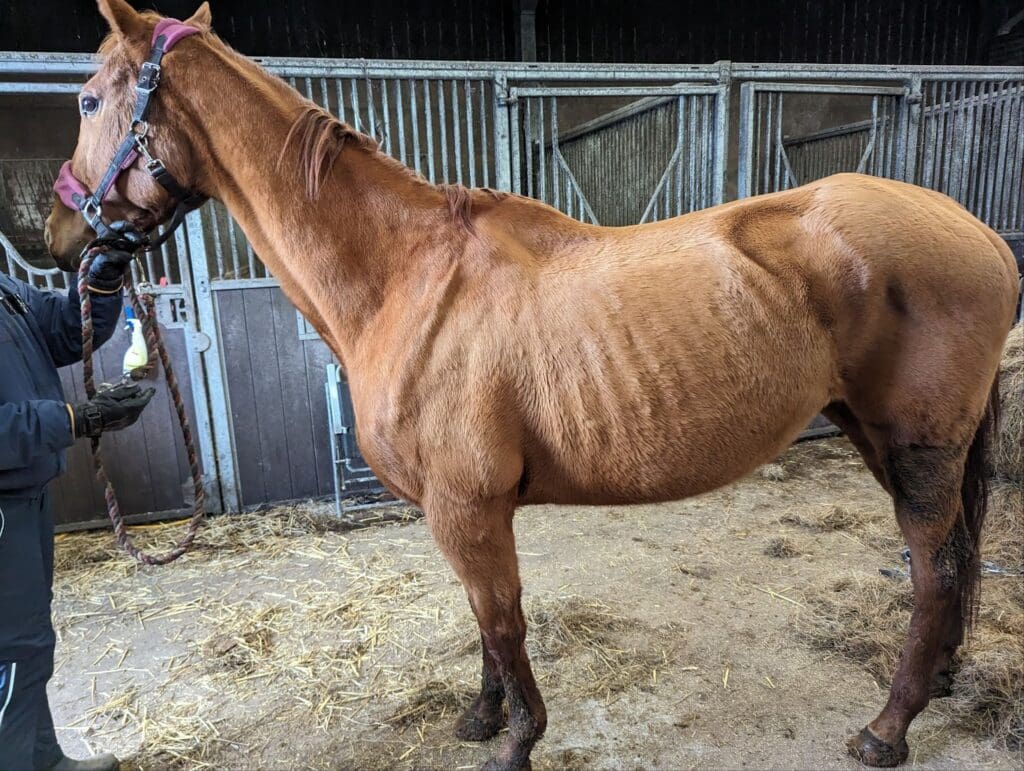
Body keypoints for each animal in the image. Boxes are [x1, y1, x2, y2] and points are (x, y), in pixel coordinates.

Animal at [45, 2, 1020, 768]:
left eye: (89, 99)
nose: (59, 236)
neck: (404, 274)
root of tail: (979, 233)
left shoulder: (468, 507)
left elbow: (503, 617)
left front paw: (516, 739)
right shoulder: (458, 510)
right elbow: (483, 621)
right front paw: (481, 718)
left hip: (917, 448)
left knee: (935, 570)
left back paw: (887, 728)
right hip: (880, 435)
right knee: (954, 558)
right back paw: (939, 679)